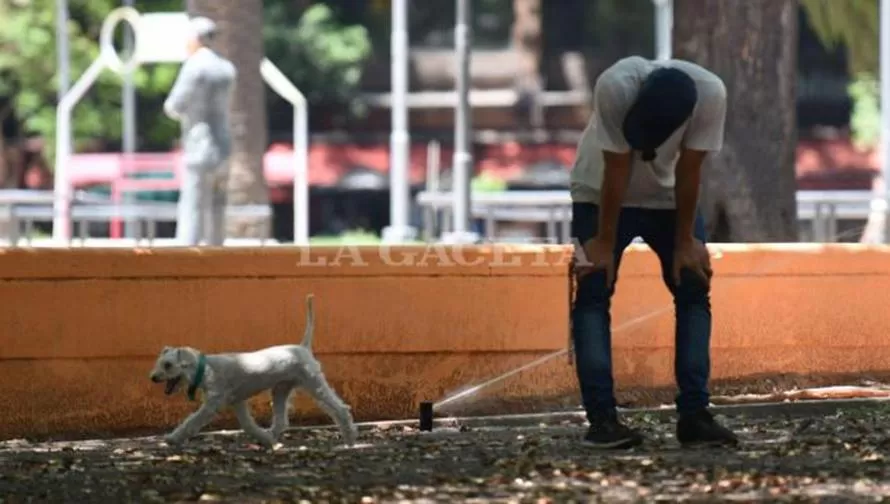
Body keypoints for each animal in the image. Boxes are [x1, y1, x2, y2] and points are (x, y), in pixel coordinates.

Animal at [147, 294, 356, 446]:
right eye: (159, 363)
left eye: (167, 365)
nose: (153, 377)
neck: (206, 368)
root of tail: (302, 347)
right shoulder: (238, 402)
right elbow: (248, 426)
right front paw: (263, 438)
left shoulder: (212, 404)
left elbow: (192, 421)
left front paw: (173, 438)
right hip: (280, 390)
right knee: (281, 421)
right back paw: (272, 438)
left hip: (315, 384)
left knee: (340, 408)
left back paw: (350, 438)